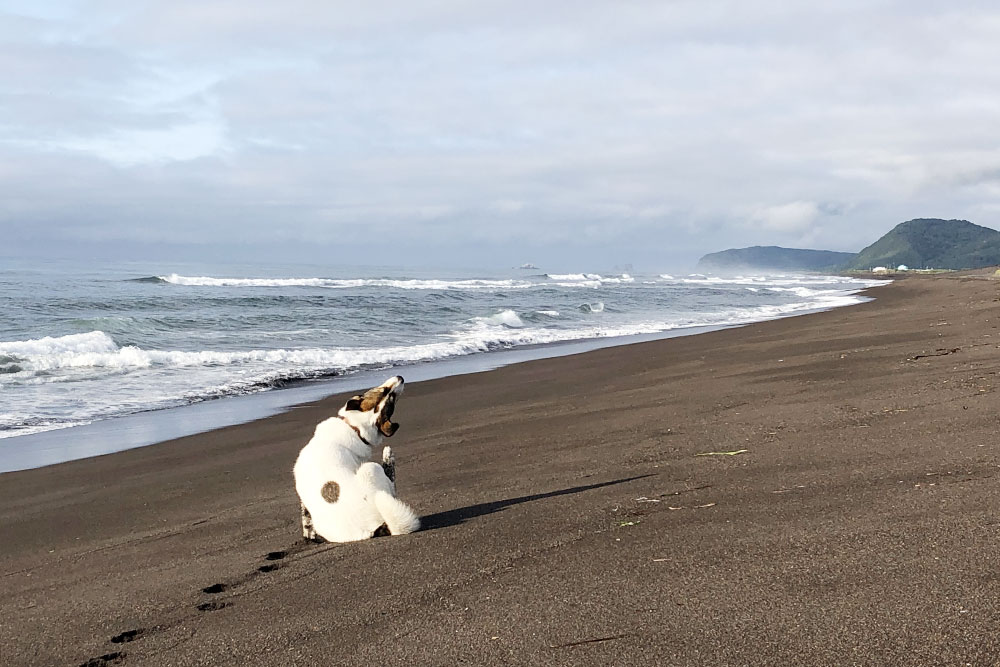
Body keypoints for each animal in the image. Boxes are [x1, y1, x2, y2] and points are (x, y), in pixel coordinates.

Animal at [296, 376, 422, 544]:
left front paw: (309, 535)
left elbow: (306, 521)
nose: (400, 378)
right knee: (391, 484)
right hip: (371, 468)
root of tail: (370, 531)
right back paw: (388, 456)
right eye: (385, 392)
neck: (355, 428)